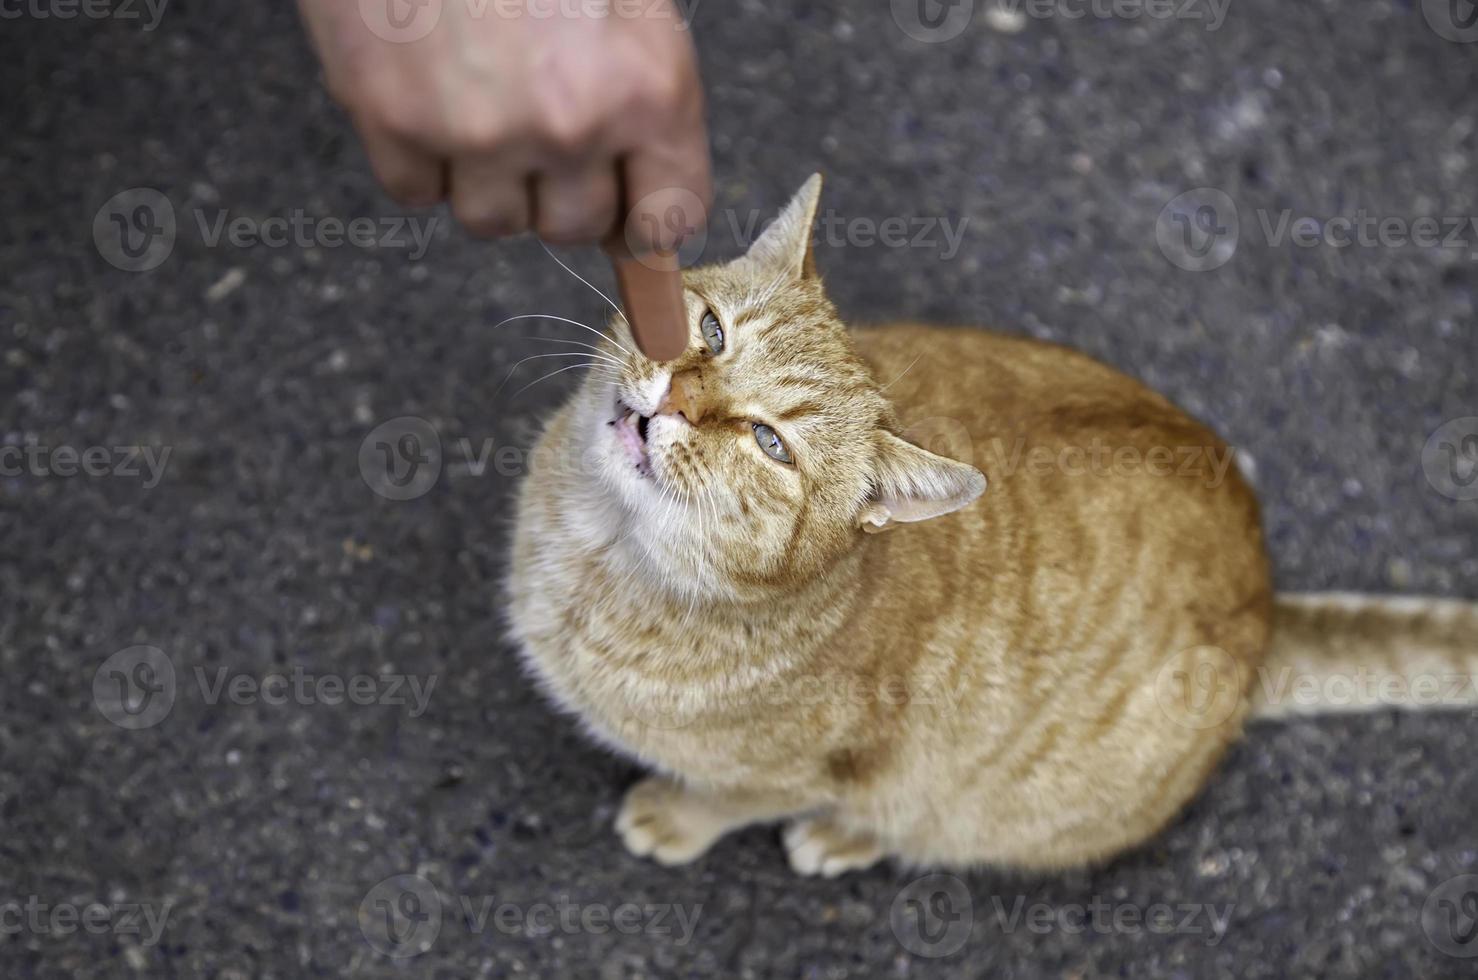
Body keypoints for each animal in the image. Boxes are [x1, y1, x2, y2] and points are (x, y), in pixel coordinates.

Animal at [508, 174, 1478, 875]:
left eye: (770, 444)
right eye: (711, 332)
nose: (676, 399)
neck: (594, 556)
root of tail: (1267, 599)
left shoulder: (801, 772)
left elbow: (729, 799)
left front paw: (676, 818)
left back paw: (843, 838)